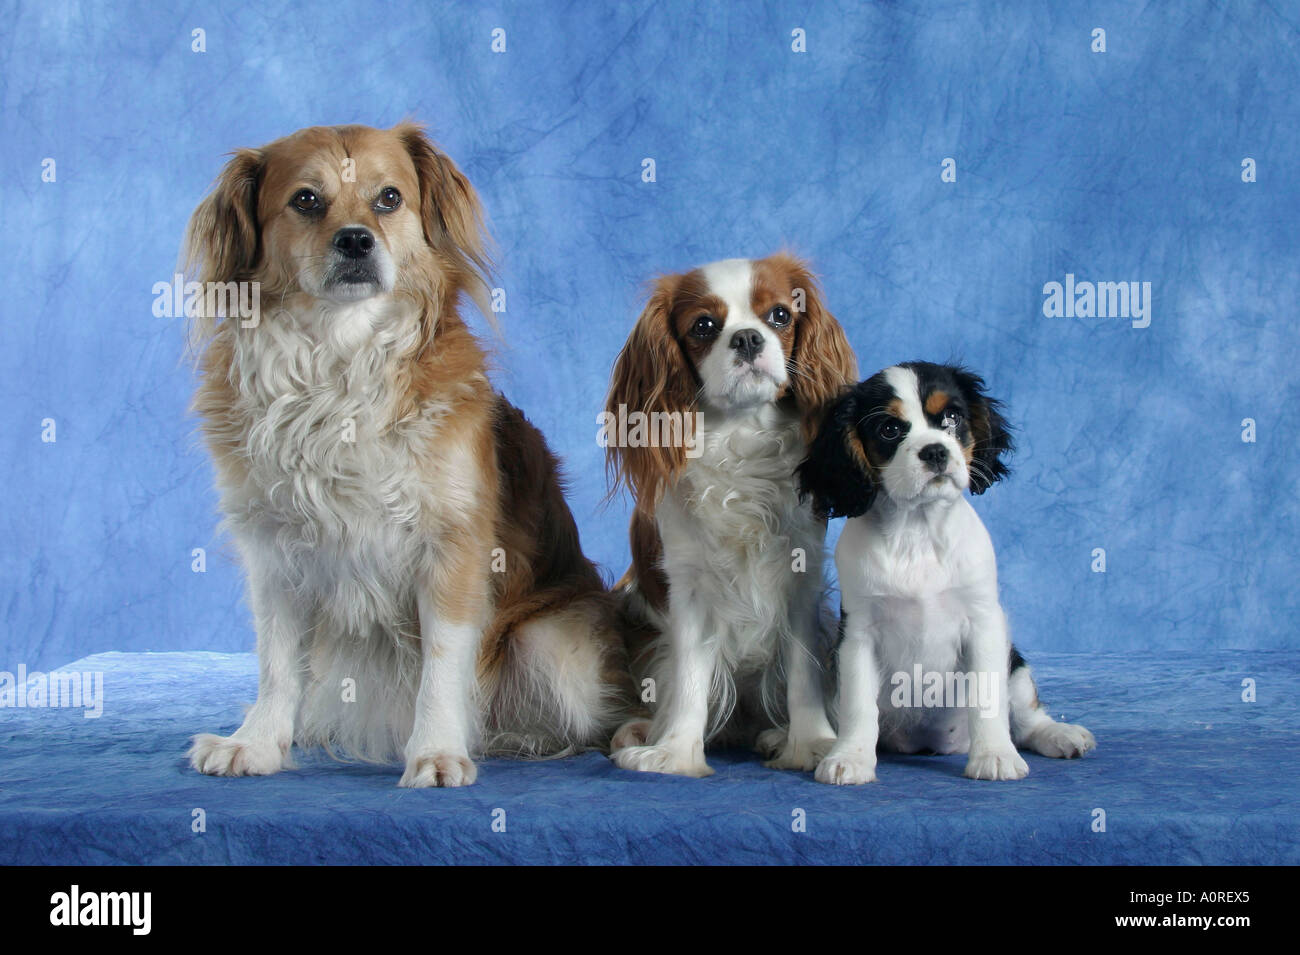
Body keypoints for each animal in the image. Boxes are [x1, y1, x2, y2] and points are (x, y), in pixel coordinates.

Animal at [603, 254, 857, 779]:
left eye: (780, 315)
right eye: (703, 326)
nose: (747, 338)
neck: (743, 437)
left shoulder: (799, 581)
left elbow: (803, 672)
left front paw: (811, 743)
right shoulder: (689, 587)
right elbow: (690, 679)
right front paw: (674, 753)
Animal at [795, 361, 1092, 779]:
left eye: (952, 418)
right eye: (889, 429)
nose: (935, 450)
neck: (917, 530)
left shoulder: (984, 624)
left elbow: (988, 699)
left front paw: (994, 756)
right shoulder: (857, 636)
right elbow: (858, 705)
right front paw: (850, 757)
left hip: (1014, 660)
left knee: (1026, 718)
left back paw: (1059, 735)